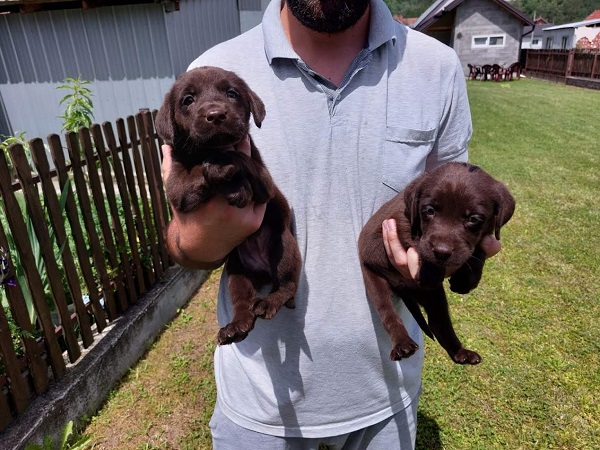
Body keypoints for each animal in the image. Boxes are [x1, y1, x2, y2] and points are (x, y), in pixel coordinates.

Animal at [157, 67, 302, 346]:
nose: (216, 114)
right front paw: (229, 180)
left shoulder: (265, 183)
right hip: (237, 273)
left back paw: (270, 302)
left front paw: (229, 173)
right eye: (187, 100)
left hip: (284, 247)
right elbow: (197, 174)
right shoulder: (176, 186)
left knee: (287, 285)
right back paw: (236, 327)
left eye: (232, 94)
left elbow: (240, 158)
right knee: (244, 303)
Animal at [358, 163, 512, 364]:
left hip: (435, 298)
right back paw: (403, 345)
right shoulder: (393, 225)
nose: (442, 252)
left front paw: (465, 281)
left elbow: (476, 252)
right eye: (429, 211)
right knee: (388, 312)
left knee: (440, 323)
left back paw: (461, 353)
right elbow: (418, 242)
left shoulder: (482, 238)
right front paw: (430, 272)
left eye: (474, 219)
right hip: (374, 279)